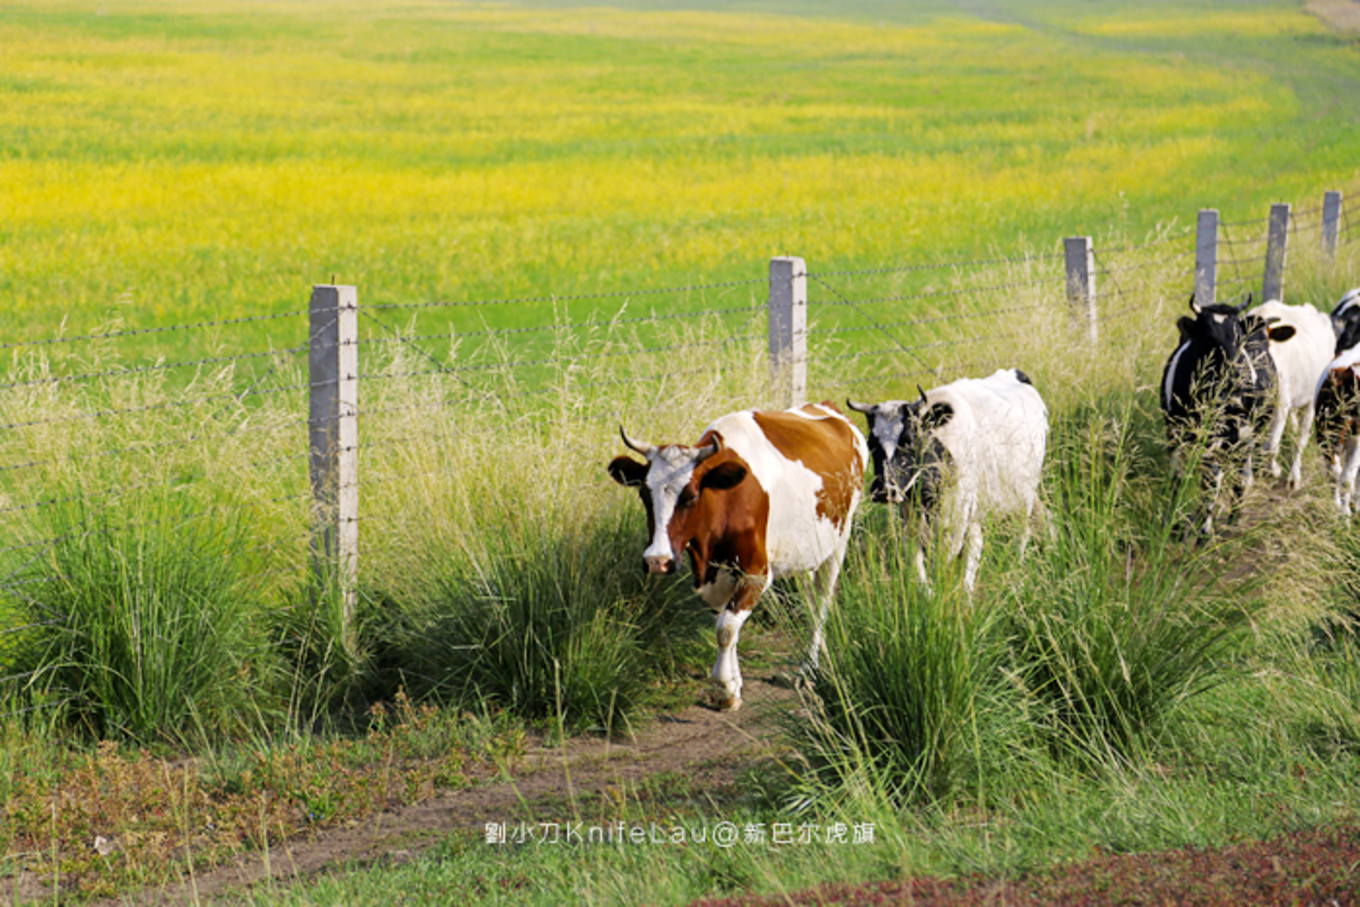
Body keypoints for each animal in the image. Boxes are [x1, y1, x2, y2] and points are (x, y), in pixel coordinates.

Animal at [609, 402, 864, 707]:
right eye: (645, 495)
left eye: (691, 496)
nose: (657, 561)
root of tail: (827, 408)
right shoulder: (715, 578)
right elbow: (725, 624)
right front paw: (734, 682)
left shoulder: (756, 573)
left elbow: (726, 628)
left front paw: (724, 687)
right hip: (805, 553)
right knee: (811, 601)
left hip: (839, 542)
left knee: (822, 603)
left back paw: (809, 667)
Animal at [843, 369, 1044, 595]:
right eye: (871, 444)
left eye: (909, 440)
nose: (885, 490)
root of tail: (1013, 373)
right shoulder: (910, 510)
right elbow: (915, 554)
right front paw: (928, 592)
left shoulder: (955, 514)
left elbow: (945, 555)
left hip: (1024, 494)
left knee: (1021, 531)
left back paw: (1013, 568)